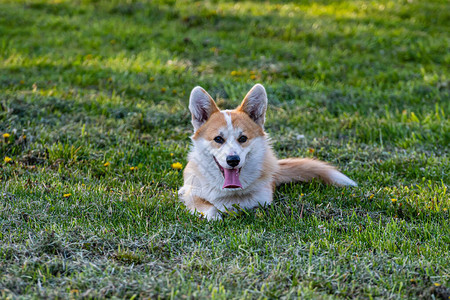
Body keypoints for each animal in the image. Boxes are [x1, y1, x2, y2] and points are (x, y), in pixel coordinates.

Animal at [178, 84, 356, 220]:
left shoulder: (263, 199)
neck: (231, 192)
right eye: (218, 139)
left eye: (243, 138)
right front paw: (214, 216)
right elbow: (206, 206)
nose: (233, 160)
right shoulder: (193, 195)